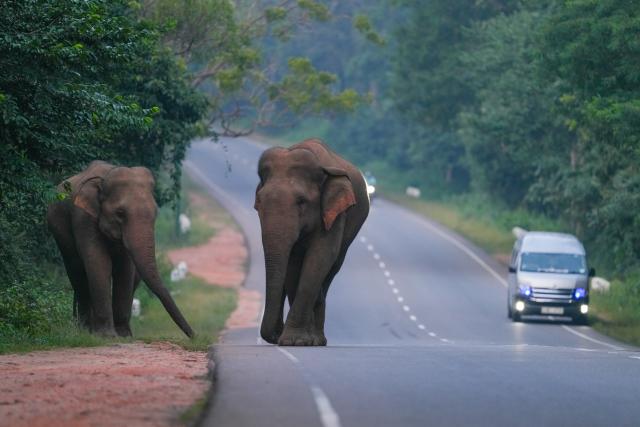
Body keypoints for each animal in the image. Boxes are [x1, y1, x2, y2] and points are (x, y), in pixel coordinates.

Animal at [47, 160, 194, 338]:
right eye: (120, 213)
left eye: (155, 213)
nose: (194, 336)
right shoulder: (82, 217)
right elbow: (99, 262)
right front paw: (107, 336)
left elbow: (125, 269)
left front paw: (124, 335)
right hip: (59, 231)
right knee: (76, 272)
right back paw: (85, 330)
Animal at [254, 139, 369, 346]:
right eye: (259, 202)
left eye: (301, 201)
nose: (274, 336)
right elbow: (294, 263)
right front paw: (297, 340)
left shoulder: (335, 212)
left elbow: (321, 256)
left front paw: (295, 341)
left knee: (333, 268)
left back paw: (318, 339)